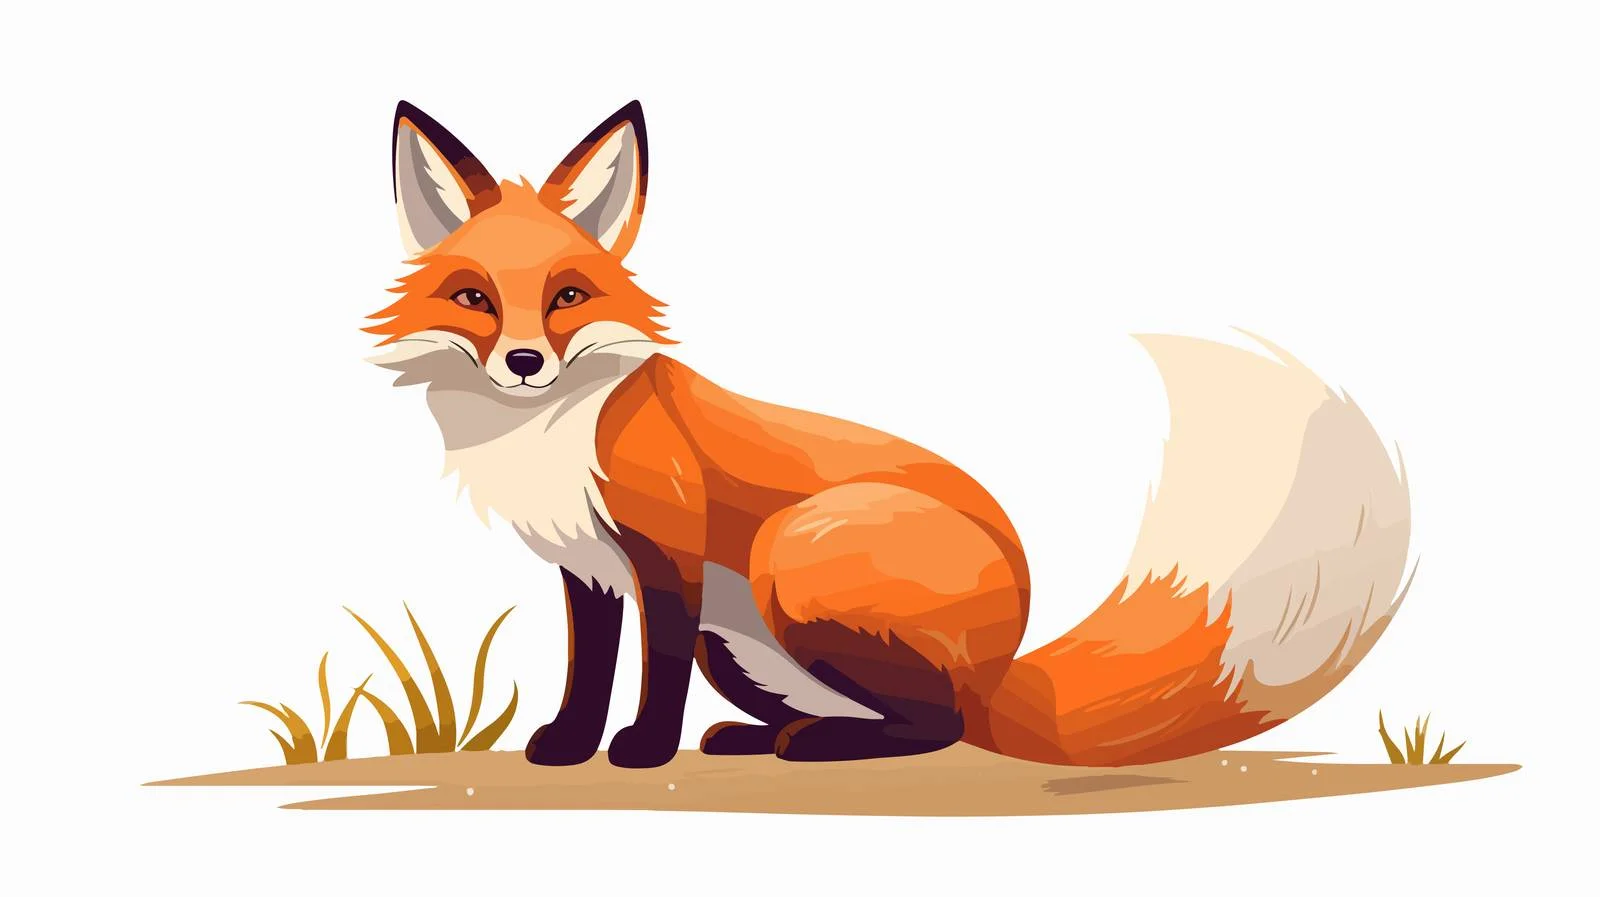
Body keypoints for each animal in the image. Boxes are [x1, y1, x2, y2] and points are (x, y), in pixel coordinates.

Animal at [368, 100, 1413, 769]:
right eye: (474, 298)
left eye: (569, 296)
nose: (524, 363)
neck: (550, 432)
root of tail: (1003, 667)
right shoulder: (589, 567)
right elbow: (589, 670)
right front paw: (570, 746)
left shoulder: (666, 549)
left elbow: (650, 673)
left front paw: (643, 750)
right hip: (734, 639)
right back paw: (765, 737)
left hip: (790, 558)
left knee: (939, 726)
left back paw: (812, 746)